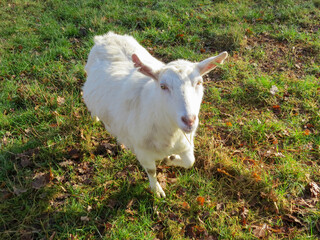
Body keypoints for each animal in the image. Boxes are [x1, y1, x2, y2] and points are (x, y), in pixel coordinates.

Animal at [82, 31, 228, 197]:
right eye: (163, 86)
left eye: (199, 83)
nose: (189, 120)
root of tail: (105, 36)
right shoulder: (142, 151)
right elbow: (151, 171)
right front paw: (157, 190)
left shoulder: (185, 143)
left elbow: (190, 161)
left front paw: (169, 159)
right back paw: (95, 118)